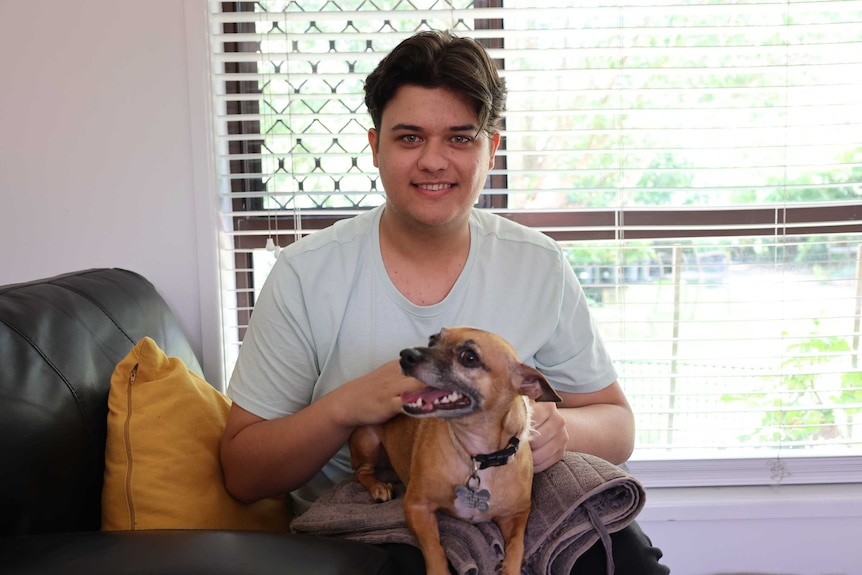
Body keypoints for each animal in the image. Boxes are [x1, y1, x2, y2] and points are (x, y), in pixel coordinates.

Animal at [348, 328, 564, 575]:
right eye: (432, 340)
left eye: (469, 358)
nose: (405, 355)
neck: (478, 458)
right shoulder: (416, 506)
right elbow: (434, 549)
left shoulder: (517, 517)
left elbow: (517, 546)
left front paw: (509, 566)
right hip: (367, 439)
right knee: (361, 471)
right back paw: (378, 486)